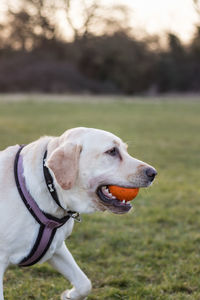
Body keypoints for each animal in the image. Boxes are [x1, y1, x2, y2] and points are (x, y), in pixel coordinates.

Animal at [0, 127, 156, 300]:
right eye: (112, 151)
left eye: (125, 150)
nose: (153, 173)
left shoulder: (56, 246)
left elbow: (85, 284)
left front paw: (69, 295)